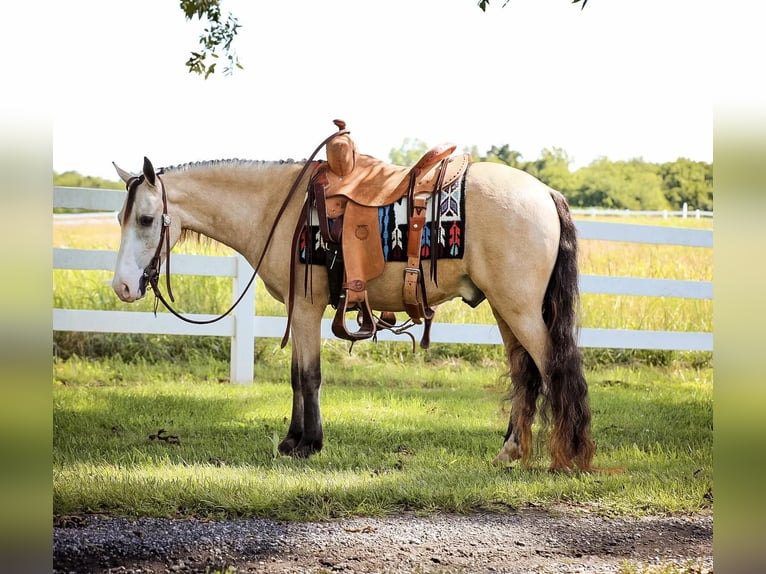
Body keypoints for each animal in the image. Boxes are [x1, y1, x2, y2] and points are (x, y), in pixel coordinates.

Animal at [111, 141, 595, 473]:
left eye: (147, 219)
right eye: (121, 217)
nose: (122, 286)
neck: (276, 207)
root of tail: (545, 193)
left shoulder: (306, 307)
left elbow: (308, 376)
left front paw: (308, 445)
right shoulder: (300, 311)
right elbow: (296, 376)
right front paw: (293, 441)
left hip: (520, 309)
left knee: (552, 367)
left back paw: (567, 456)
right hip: (504, 308)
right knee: (524, 375)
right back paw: (510, 451)